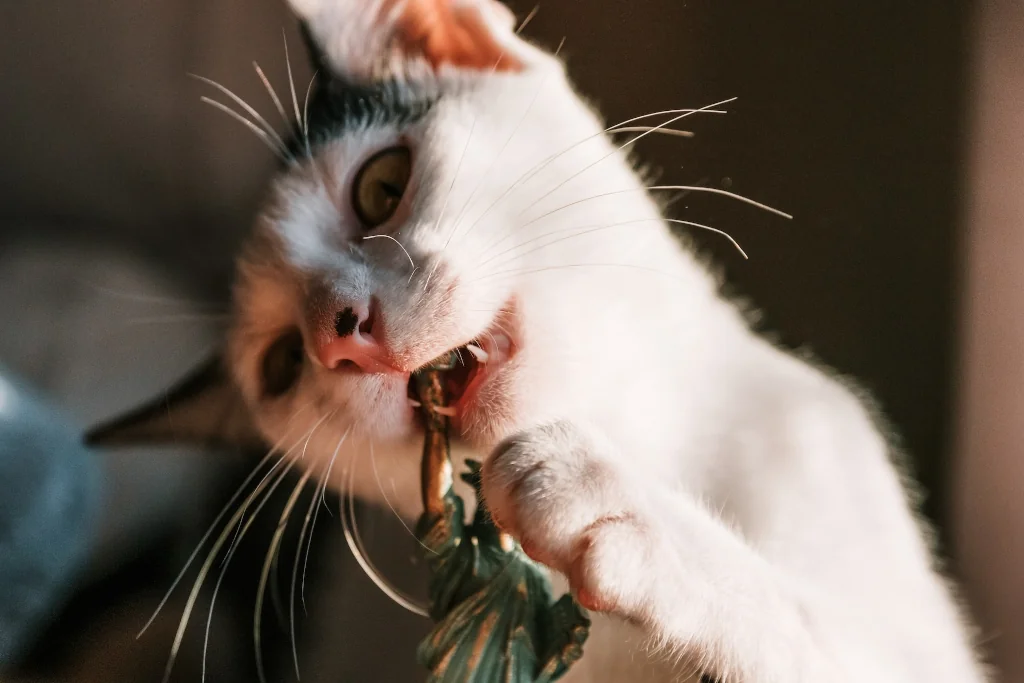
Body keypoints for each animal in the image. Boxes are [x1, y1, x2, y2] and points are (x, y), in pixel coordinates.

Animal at [90, 1, 991, 683]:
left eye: (379, 186)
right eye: (283, 363)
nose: (340, 331)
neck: (656, 439)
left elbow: (829, 630)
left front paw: (615, 501)